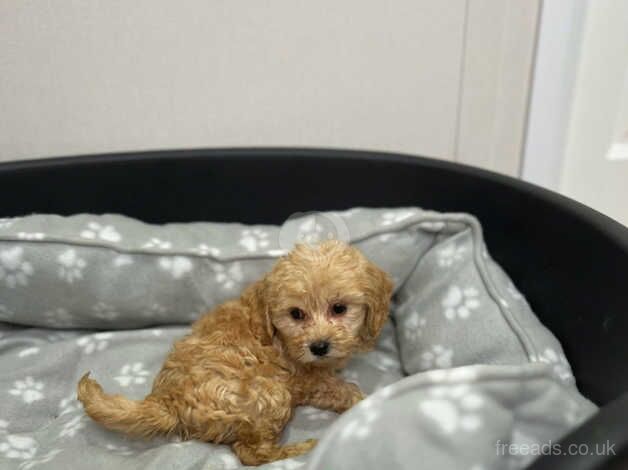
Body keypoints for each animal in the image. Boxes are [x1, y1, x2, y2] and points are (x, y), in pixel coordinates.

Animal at [78, 241, 392, 464]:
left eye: (339, 308)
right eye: (296, 314)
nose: (319, 346)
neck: (279, 338)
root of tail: (168, 400)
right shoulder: (305, 379)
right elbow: (339, 390)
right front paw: (363, 402)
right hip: (270, 394)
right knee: (250, 453)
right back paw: (299, 451)